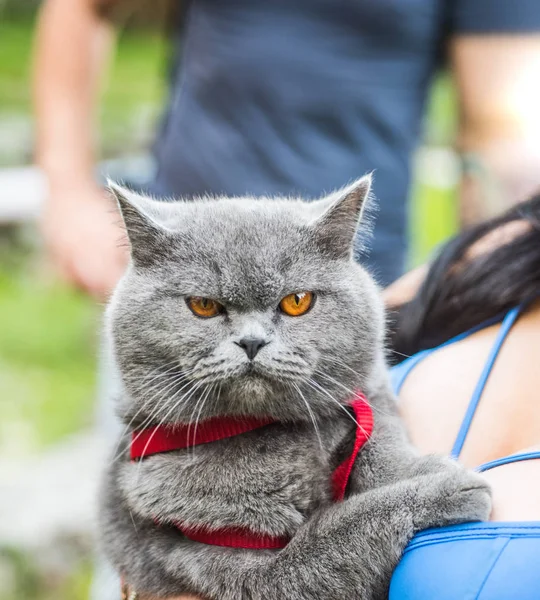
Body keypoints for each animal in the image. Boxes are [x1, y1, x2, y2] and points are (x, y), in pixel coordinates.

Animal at [99, 177, 492, 600]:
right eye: (203, 305)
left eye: (297, 301)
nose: (252, 342)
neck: (268, 434)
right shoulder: (237, 572)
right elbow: (337, 537)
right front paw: (447, 489)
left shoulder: (370, 392)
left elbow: (380, 434)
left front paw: (418, 468)